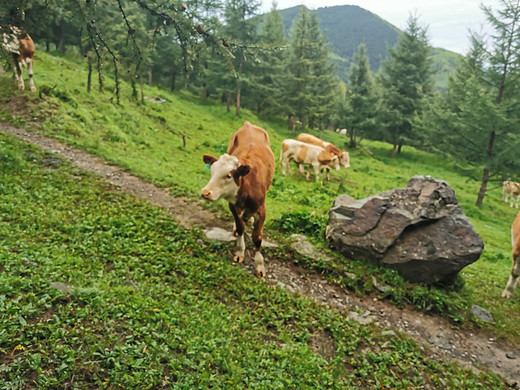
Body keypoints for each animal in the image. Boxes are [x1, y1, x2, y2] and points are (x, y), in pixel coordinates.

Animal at [200, 122, 276, 278]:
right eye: (212, 171)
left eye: (228, 176)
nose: (205, 192)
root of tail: (248, 124)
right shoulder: (232, 205)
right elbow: (241, 228)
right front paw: (240, 251)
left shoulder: (262, 210)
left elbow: (257, 237)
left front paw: (260, 265)